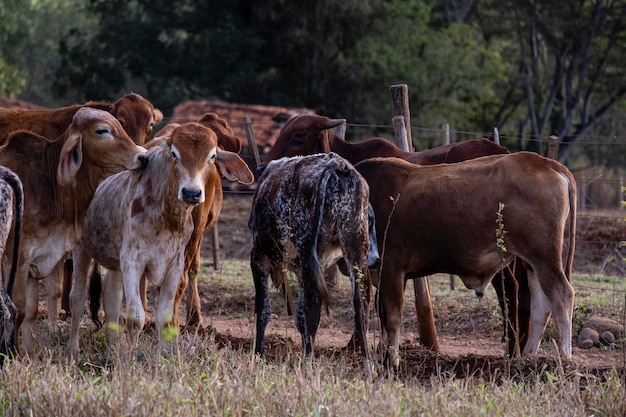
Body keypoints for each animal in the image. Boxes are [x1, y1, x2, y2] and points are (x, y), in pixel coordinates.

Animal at [68, 121, 251, 354]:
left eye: (212, 156)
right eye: (174, 154)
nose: (191, 193)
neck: (166, 216)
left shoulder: (174, 266)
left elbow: (165, 319)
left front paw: (164, 356)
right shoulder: (133, 261)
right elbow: (136, 318)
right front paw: (130, 356)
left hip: (115, 261)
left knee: (111, 296)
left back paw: (111, 347)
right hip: (82, 250)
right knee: (77, 296)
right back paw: (73, 349)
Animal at [250, 151, 380, 372]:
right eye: (371, 223)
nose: (376, 260)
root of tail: (339, 166)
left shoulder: (258, 257)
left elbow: (264, 310)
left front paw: (258, 354)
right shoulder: (301, 270)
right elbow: (299, 315)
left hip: (309, 254)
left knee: (314, 303)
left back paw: (308, 359)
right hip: (354, 252)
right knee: (361, 301)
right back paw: (367, 364)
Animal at [255, 113, 528, 354]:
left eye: (298, 135)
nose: (261, 167)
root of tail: (503, 151)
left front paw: (357, 345)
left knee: (510, 290)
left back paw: (512, 349)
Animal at [354, 153, 572, 370]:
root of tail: (544, 162)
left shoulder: (392, 266)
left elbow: (392, 317)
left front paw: (392, 360)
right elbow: (382, 315)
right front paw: (382, 356)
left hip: (545, 258)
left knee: (563, 296)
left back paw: (565, 356)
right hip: (532, 263)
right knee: (541, 306)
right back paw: (528, 355)